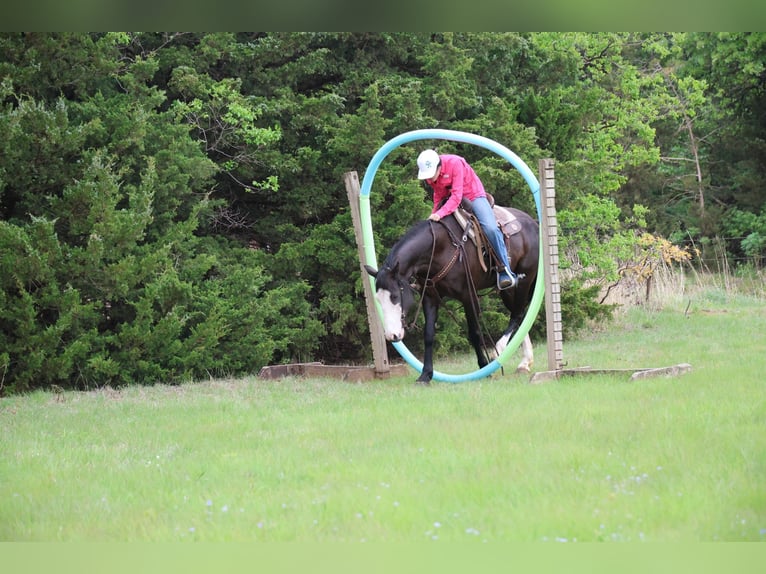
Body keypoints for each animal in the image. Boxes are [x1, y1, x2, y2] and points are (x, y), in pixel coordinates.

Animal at [364, 204, 539, 384]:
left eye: (394, 296)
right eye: (378, 300)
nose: (392, 335)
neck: (439, 249)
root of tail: (533, 223)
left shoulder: (469, 296)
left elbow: (475, 334)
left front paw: (484, 368)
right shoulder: (430, 298)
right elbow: (429, 335)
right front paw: (425, 375)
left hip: (525, 280)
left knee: (517, 314)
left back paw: (499, 349)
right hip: (508, 290)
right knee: (520, 314)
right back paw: (524, 363)